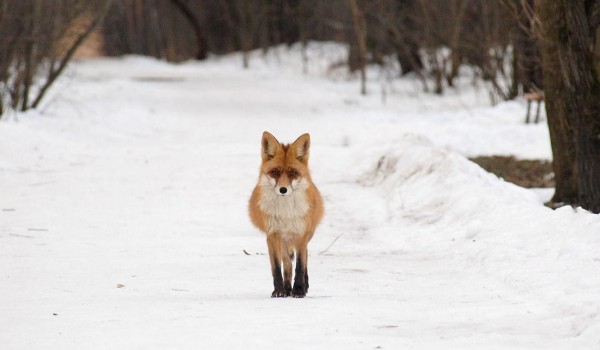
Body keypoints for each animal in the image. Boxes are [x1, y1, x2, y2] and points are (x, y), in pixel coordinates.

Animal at [248, 131, 324, 298]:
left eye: (293, 173)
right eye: (275, 172)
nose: (283, 190)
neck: (286, 213)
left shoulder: (301, 234)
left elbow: (300, 265)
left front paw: (299, 290)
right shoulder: (272, 235)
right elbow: (277, 267)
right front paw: (279, 290)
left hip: (305, 235)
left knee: (304, 257)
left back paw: (302, 286)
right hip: (283, 241)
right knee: (287, 263)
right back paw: (287, 287)